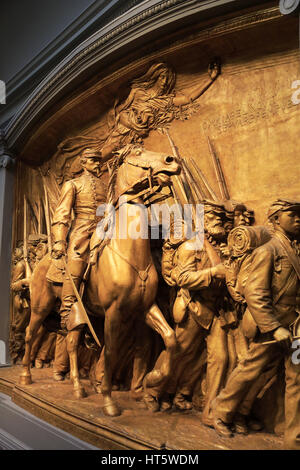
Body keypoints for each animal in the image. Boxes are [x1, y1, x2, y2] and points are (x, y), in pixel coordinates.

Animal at [19, 146, 182, 414]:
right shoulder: (114, 312)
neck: (130, 254)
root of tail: (41, 262)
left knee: (72, 342)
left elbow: (170, 338)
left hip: (83, 315)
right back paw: (26, 376)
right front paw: (108, 400)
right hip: (41, 308)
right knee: (31, 334)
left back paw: (78, 386)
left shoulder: (145, 307)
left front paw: (153, 379)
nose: (172, 161)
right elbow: (111, 352)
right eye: (138, 151)